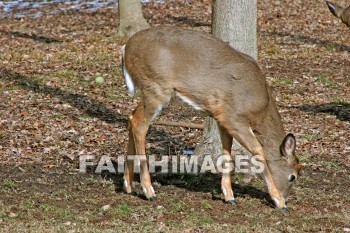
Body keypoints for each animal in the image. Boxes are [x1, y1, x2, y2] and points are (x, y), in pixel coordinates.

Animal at [121, 26, 302, 208]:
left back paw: (128, 185)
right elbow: (258, 150)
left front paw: (229, 195)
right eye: (293, 176)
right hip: (156, 87)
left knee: (131, 117)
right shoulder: (235, 117)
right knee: (139, 124)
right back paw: (149, 191)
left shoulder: (223, 119)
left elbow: (227, 151)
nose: (286, 197)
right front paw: (279, 201)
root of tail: (126, 48)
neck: (261, 110)